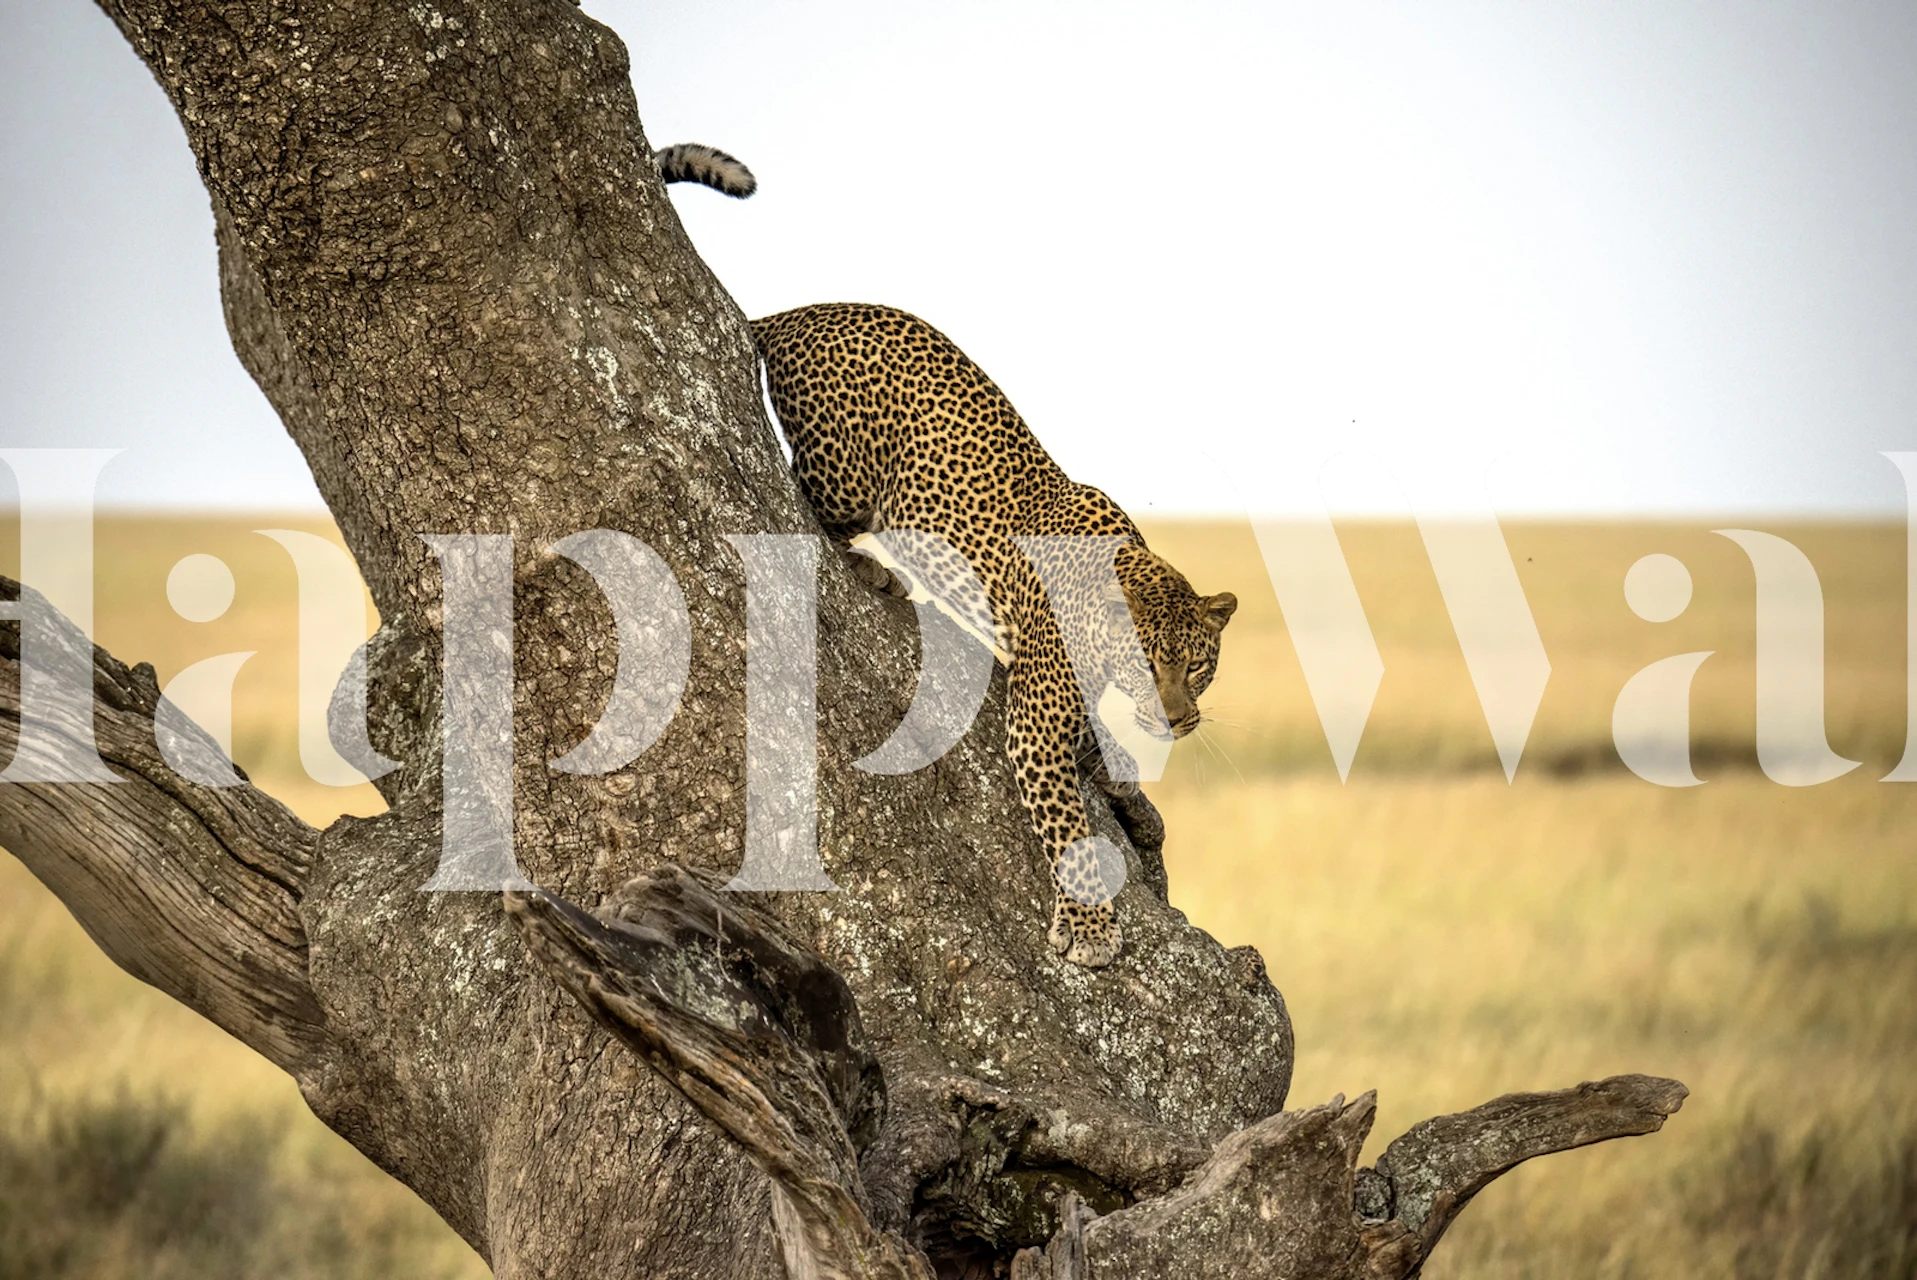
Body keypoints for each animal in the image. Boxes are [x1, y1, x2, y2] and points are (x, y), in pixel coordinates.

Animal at [657, 148, 1237, 968]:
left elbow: (1102, 754)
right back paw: (874, 569)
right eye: (1147, 659)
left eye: (1198, 664)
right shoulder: (1034, 719)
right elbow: (1069, 828)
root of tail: (800, 312)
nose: (1180, 720)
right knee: (808, 501)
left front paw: (1133, 797)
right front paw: (1091, 927)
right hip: (848, 467)